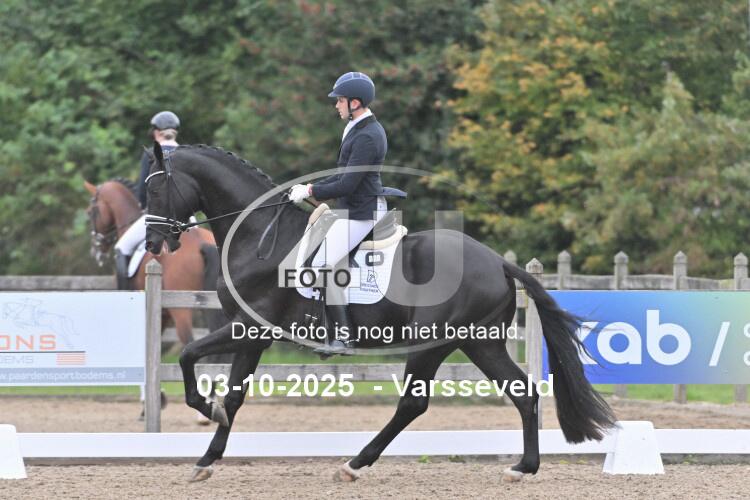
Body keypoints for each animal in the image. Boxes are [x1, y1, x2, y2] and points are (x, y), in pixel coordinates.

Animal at [143, 143, 616, 483]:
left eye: (155, 189)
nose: (153, 243)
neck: (261, 238)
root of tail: (498, 261)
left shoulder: (249, 328)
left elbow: (188, 358)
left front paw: (205, 410)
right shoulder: (250, 336)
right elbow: (234, 396)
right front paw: (207, 458)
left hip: (433, 342)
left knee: (413, 404)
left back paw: (354, 464)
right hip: (479, 342)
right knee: (522, 392)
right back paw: (523, 468)